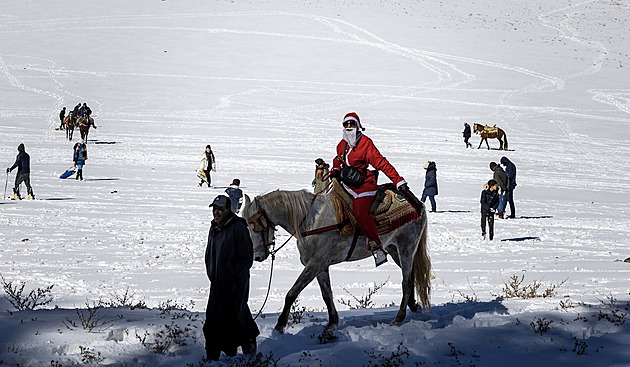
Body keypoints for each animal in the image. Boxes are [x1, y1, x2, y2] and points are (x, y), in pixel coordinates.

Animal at [243, 190, 434, 336]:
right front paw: (332, 323)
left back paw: (399, 318)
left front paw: (280, 325)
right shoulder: (320, 267)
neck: (310, 222)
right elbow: (327, 294)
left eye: (255, 226)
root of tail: (418, 204)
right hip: (394, 250)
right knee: (412, 276)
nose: (257, 257)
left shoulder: (315, 264)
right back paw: (413, 305)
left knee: (406, 281)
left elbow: (292, 293)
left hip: (406, 248)